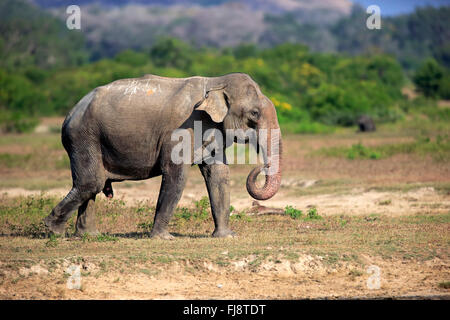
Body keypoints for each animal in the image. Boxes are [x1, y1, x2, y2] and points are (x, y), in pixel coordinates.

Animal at [43, 72, 282, 238]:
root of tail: (71, 112)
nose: (259, 167)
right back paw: (53, 231)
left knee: (92, 185)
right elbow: (177, 175)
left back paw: (88, 235)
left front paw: (227, 237)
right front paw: (163, 238)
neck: (215, 81)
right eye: (254, 113)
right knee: (91, 183)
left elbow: (218, 175)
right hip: (83, 136)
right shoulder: (180, 129)